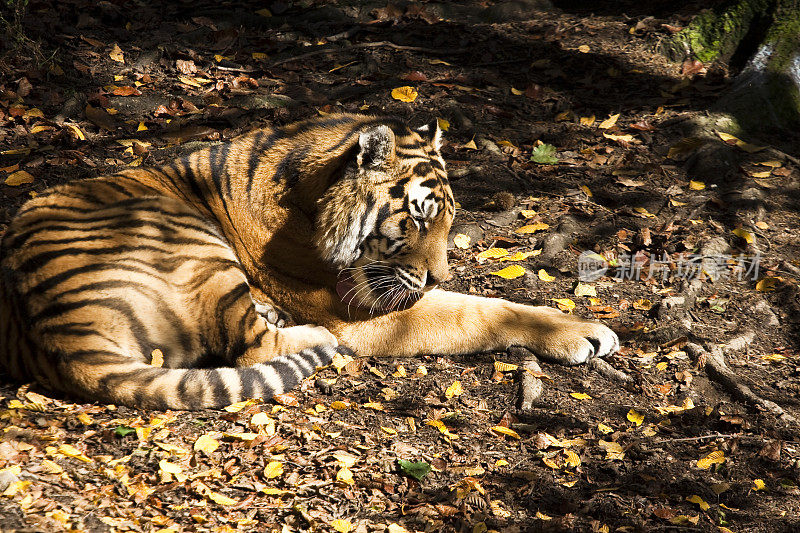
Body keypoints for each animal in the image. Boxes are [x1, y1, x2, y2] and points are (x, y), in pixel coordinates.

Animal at [0, 114, 620, 410]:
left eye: (448, 220)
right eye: (418, 219)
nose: (439, 275)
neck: (307, 194)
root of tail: (53, 327)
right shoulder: (362, 306)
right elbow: (480, 310)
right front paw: (584, 332)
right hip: (194, 245)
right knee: (256, 347)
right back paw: (308, 335)